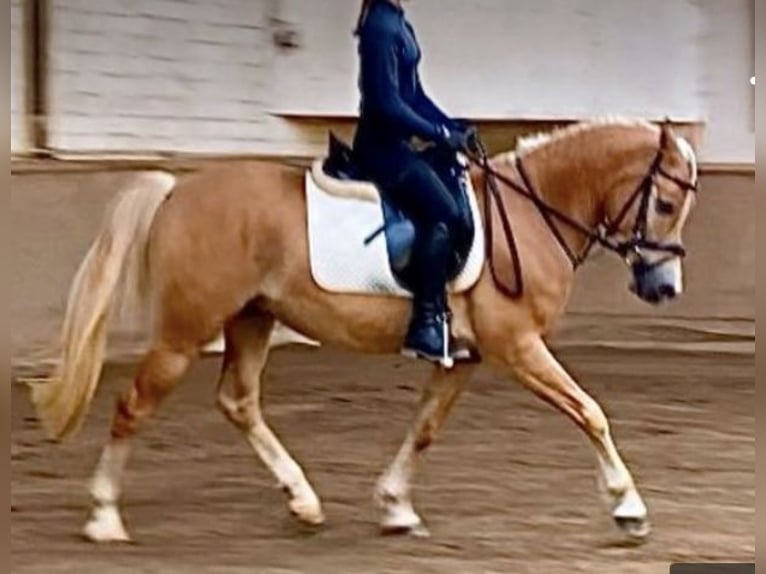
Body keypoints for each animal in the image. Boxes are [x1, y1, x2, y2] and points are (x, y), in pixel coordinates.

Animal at [29, 118, 699, 545]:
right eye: (665, 204)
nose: (663, 288)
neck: (532, 213)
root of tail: (176, 189)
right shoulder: (517, 347)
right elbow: (590, 411)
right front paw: (629, 508)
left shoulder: (469, 356)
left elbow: (425, 428)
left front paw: (396, 508)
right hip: (183, 333)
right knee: (133, 404)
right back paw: (104, 518)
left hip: (253, 319)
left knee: (238, 401)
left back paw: (303, 502)